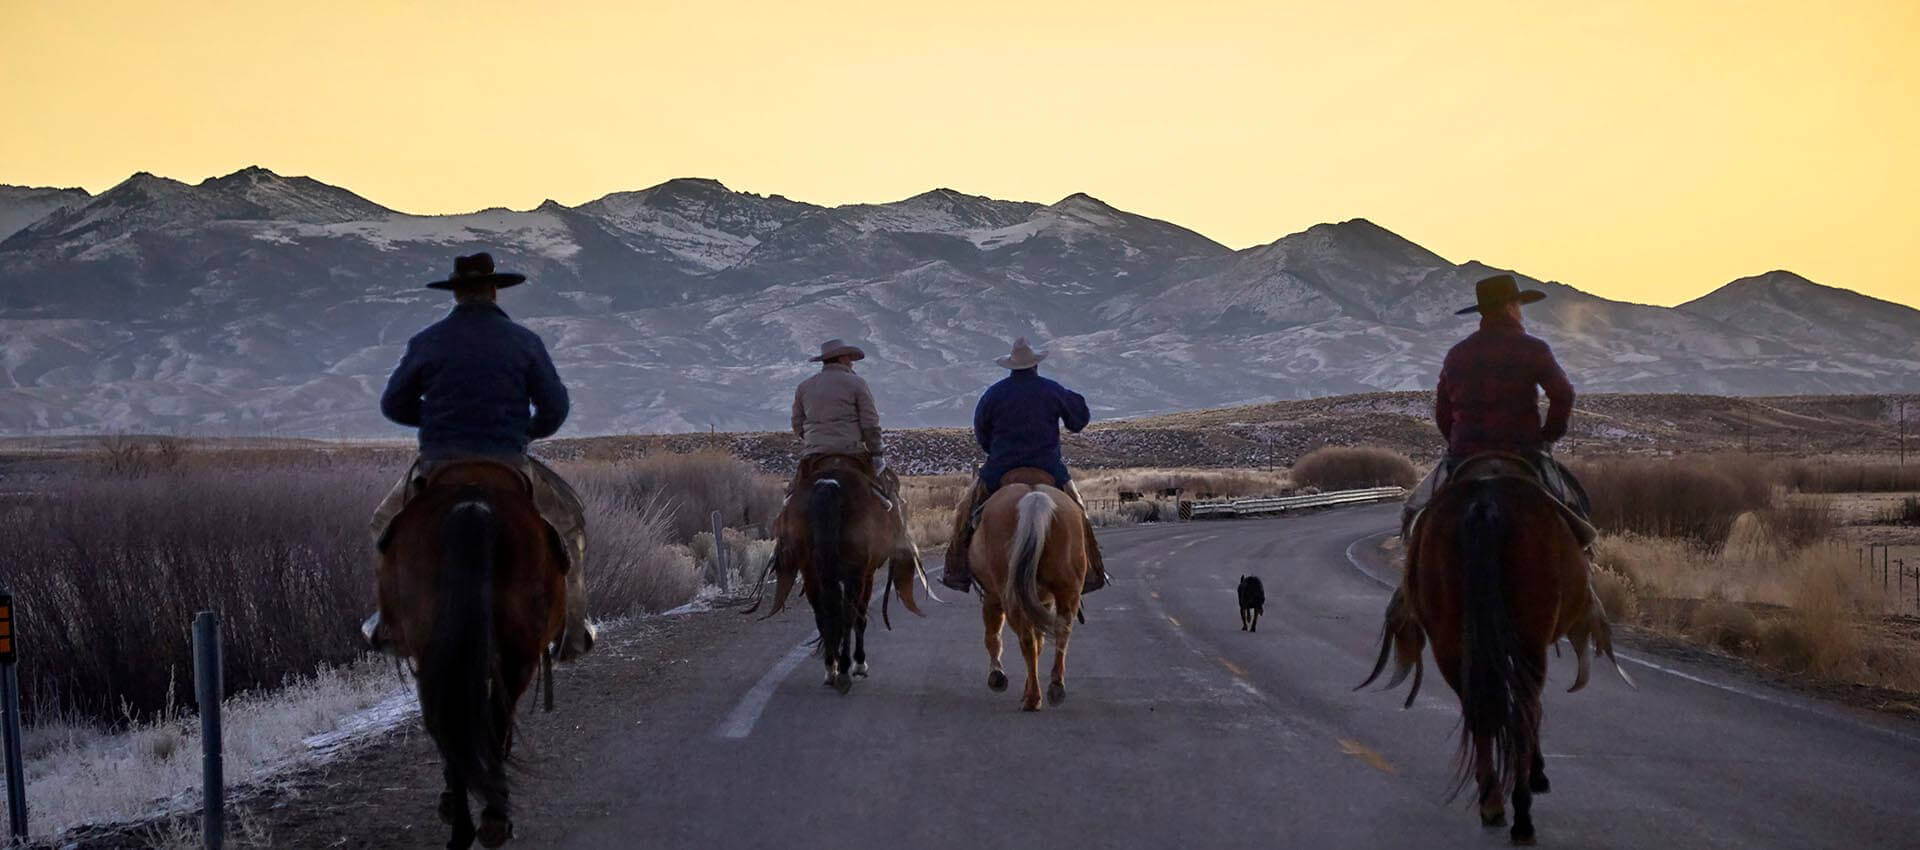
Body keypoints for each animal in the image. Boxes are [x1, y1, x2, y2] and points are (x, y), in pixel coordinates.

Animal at [376, 462, 564, 848]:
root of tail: (473, 505)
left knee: (452, 721)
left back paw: (466, 825)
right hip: (515, 656)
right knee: (492, 717)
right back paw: (491, 818)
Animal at [756, 456, 921, 694]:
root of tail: (829, 485)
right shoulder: (866, 575)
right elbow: (859, 617)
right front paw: (860, 664)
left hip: (811, 572)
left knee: (824, 615)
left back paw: (830, 669)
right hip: (854, 574)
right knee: (849, 616)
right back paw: (844, 669)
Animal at [967, 470, 1090, 713]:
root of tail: (1035, 499)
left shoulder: (992, 596)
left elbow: (992, 635)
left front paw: (997, 676)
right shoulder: (1042, 601)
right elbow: (1041, 641)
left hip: (1011, 596)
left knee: (1026, 640)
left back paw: (1033, 698)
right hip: (1067, 591)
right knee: (1062, 633)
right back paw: (1055, 688)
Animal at [1359, 452, 1628, 844]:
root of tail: (1485, 503)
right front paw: (1537, 773)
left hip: (1450, 642)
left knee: (1480, 708)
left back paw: (1492, 803)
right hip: (1528, 641)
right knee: (1524, 709)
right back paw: (1523, 814)